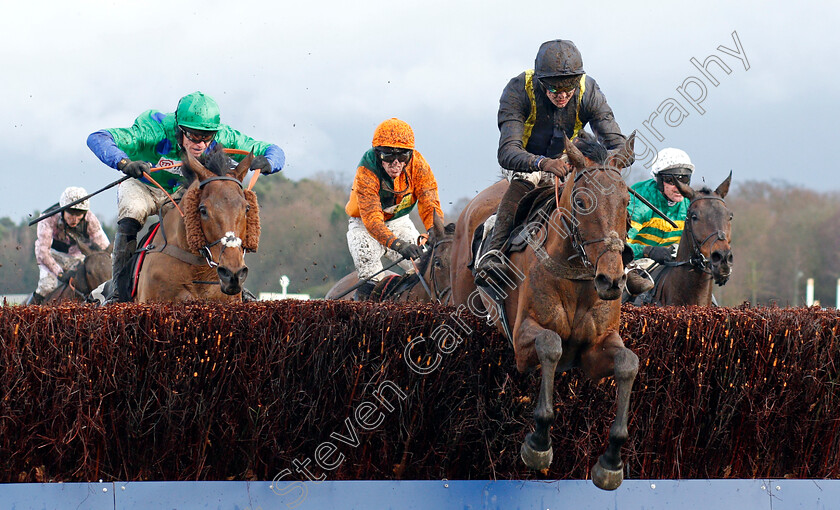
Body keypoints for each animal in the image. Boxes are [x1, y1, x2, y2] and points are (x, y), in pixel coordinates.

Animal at [452, 135, 636, 490]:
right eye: (581, 201)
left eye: (626, 202)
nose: (611, 280)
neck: (576, 277)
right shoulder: (522, 340)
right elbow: (550, 345)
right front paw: (538, 443)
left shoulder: (594, 352)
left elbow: (628, 363)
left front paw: (611, 461)